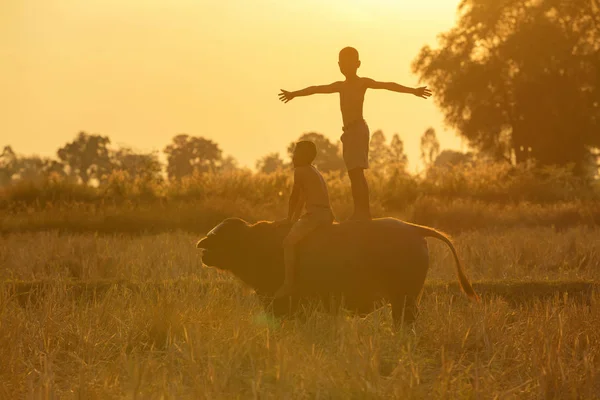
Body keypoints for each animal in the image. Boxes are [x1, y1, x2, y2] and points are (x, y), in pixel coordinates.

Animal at [197, 217, 478, 324]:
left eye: (226, 237)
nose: (203, 247)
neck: (257, 245)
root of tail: (414, 229)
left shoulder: (286, 305)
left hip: (404, 300)